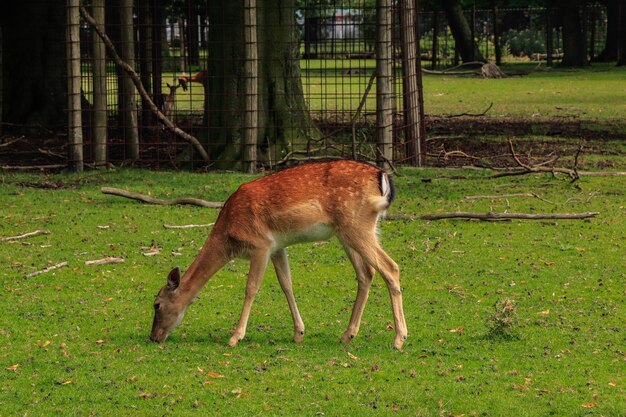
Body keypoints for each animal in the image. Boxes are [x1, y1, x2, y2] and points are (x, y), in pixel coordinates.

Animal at [149, 161, 408, 350]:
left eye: (157, 305)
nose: (153, 337)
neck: (228, 236)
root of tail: (382, 177)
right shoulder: (277, 247)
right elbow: (286, 285)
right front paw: (299, 332)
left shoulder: (260, 244)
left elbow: (251, 288)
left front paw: (235, 337)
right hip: (349, 232)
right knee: (366, 273)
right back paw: (348, 334)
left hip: (356, 224)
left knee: (390, 267)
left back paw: (399, 339)